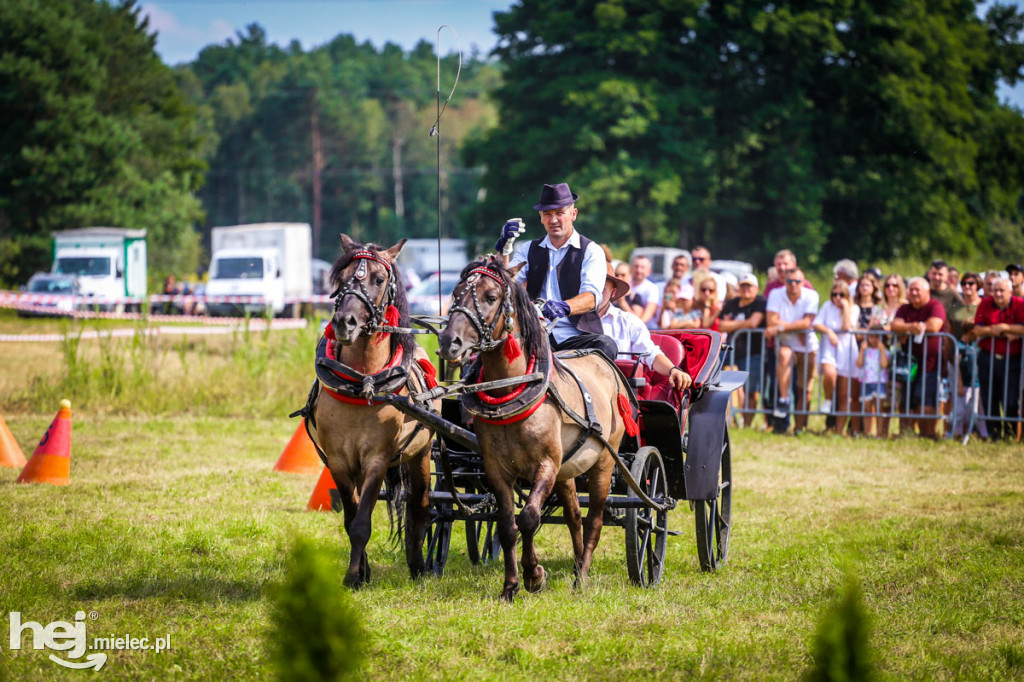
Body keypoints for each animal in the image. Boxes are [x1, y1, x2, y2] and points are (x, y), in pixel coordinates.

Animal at [311, 233, 440, 585]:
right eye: (341, 278)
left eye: (379, 279)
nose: (345, 322)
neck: (362, 382)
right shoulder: (339, 462)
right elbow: (351, 517)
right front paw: (360, 572)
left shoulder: (377, 460)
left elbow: (361, 524)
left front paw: (353, 578)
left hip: (421, 456)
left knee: (420, 507)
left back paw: (418, 566)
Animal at [436, 256, 626, 602]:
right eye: (456, 294)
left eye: (491, 297)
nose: (448, 342)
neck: (511, 387)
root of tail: (605, 364)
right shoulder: (496, 468)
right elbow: (507, 525)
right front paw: (510, 585)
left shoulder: (546, 463)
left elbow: (528, 518)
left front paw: (534, 575)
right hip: (567, 470)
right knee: (574, 516)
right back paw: (576, 565)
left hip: (604, 462)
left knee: (594, 519)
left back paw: (582, 577)